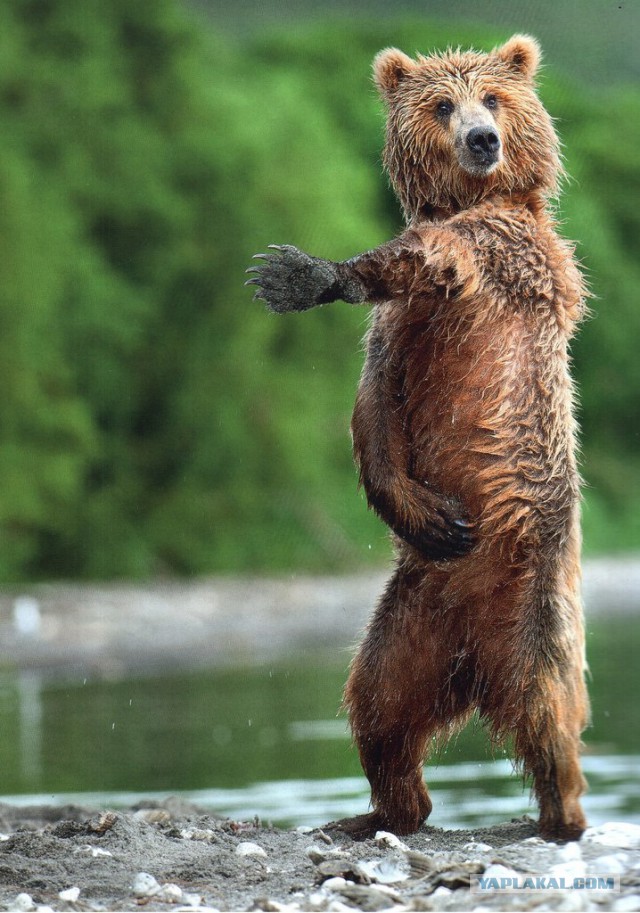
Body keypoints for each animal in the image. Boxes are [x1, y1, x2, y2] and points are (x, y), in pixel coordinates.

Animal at [247, 34, 589, 842]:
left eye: (492, 97)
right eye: (441, 104)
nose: (482, 140)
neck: (478, 198)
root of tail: (474, 660)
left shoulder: (496, 257)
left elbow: (430, 257)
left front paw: (311, 274)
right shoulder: (396, 337)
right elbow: (374, 409)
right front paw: (424, 511)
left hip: (533, 592)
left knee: (547, 702)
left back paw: (562, 811)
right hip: (410, 613)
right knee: (379, 703)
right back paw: (383, 809)